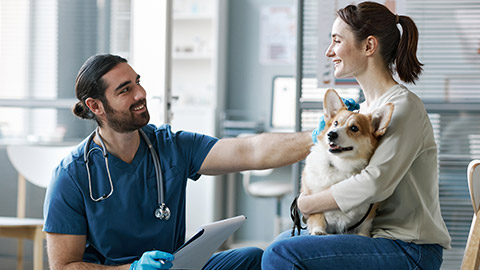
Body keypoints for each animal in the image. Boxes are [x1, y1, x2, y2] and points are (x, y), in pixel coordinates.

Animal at [290, 88, 392, 236]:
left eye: (354, 128)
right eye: (335, 123)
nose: (331, 134)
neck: (339, 166)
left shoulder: (371, 209)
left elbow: (365, 225)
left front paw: (363, 235)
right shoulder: (309, 198)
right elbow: (317, 216)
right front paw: (318, 231)